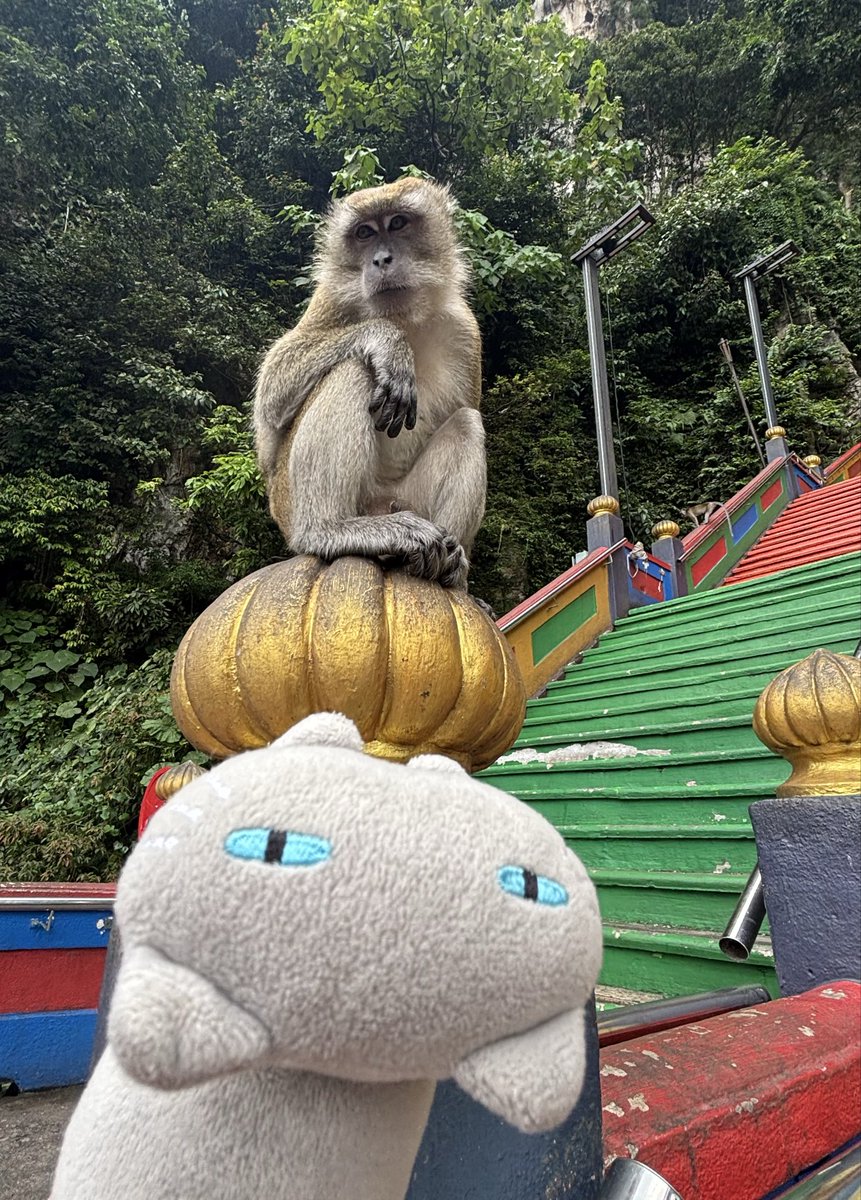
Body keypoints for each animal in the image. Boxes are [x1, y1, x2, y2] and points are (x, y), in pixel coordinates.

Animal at [253, 178, 485, 591]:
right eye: (364, 233)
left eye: (398, 223)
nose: (381, 260)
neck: (404, 317)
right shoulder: (330, 298)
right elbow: (271, 398)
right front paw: (387, 342)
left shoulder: (465, 329)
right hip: (293, 506)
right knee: (353, 368)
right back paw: (331, 529)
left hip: (404, 498)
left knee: (466, 422)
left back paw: (443, 565)